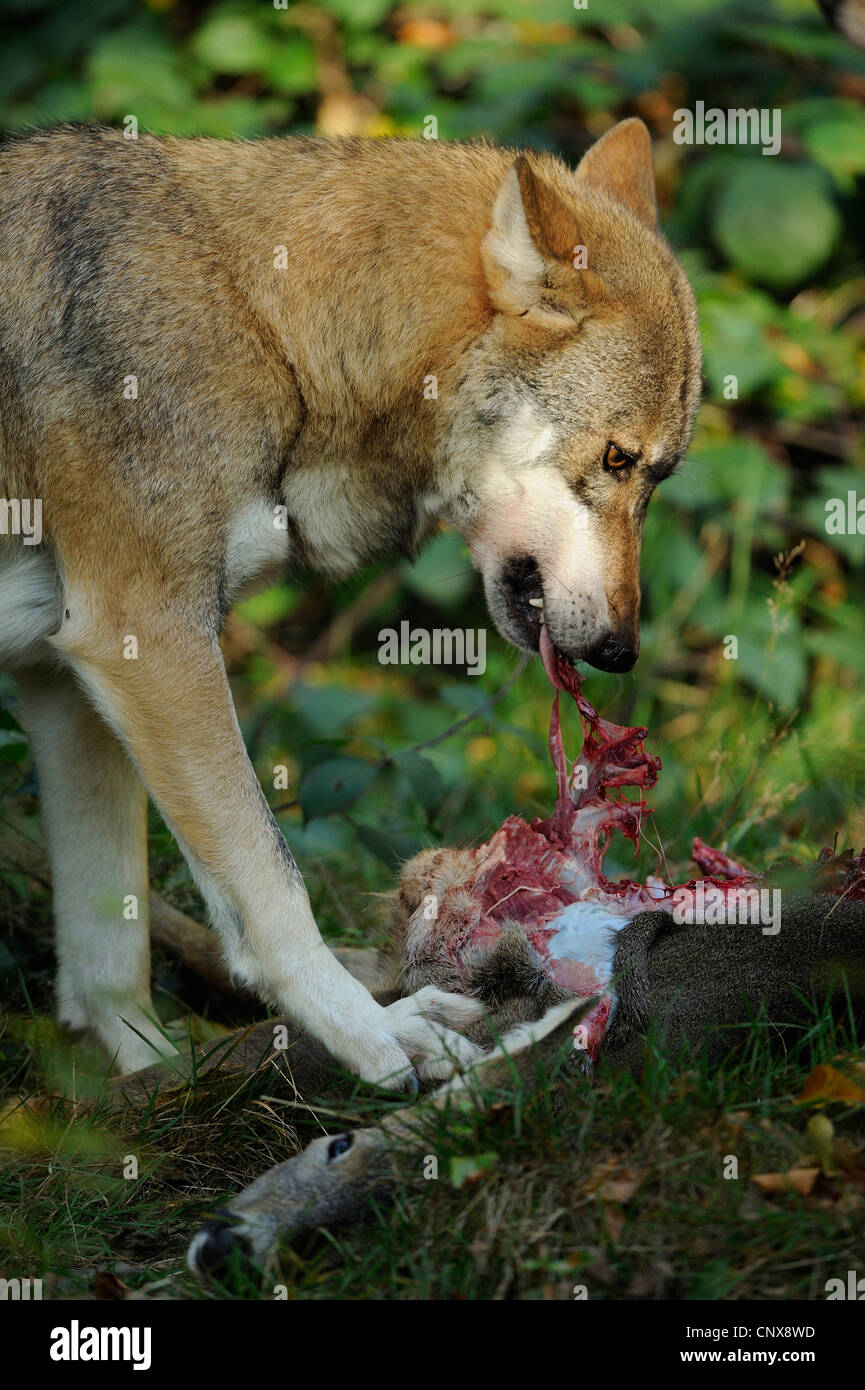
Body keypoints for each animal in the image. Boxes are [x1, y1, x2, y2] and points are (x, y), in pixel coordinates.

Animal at [0, 118, 701, 1080]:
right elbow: (271, 883)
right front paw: (376, 1035)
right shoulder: (146, 639)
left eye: (658, 478)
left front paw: (150, 1083)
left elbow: (109, 948)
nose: (620, 653)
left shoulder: (65, 679)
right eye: (616, 459)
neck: (264, 319)